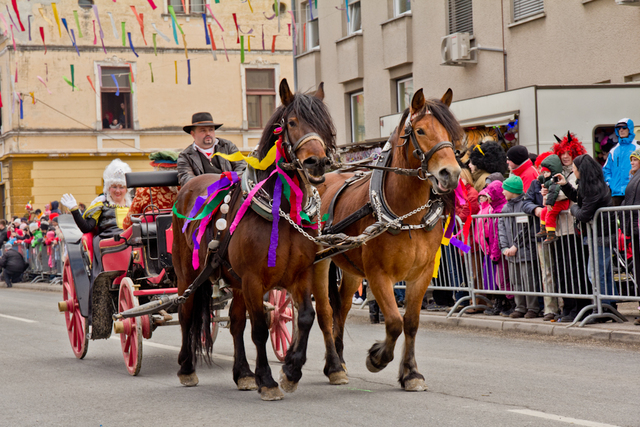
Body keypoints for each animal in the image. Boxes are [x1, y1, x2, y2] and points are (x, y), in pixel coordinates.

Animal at [172, 79, 338, 402]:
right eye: (292, 122)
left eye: (325, 124)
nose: (317, 162)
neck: (282, 210)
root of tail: (189, 187)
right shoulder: (253, 278)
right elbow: (260, 328)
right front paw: (268, 380)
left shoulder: (301, 274)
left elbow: (305, 317)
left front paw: (290, 371)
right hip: (188, 274)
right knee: (186, 314)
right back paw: (186, 368)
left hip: (233, 282)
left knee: (236, 322)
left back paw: (243, 374)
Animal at [312, 89, 462, 392]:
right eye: (420, 130)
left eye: (451, 133)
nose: (450, 174)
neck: (406, 214)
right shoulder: (378, 275)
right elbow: (393, 321)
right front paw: (377, 357)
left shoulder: (421, 274)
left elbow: (411, 322)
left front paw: (411, 373)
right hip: (320, 264)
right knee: (324, 312)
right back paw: (333, 366)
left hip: (351, 271)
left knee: (341, 310)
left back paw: (340, 360)